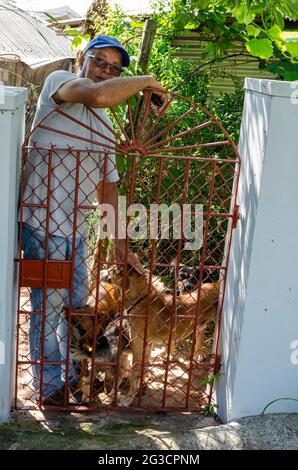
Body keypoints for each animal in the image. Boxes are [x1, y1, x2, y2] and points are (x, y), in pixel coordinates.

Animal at [114, 270, 219, 406]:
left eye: (114, 270)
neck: (141, 299)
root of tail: (216, 285)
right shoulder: (147, 345)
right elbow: (144, 368)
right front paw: (142, 385)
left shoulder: (138, 346)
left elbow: (135, 373)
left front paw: (129, 397)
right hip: (199, 327)